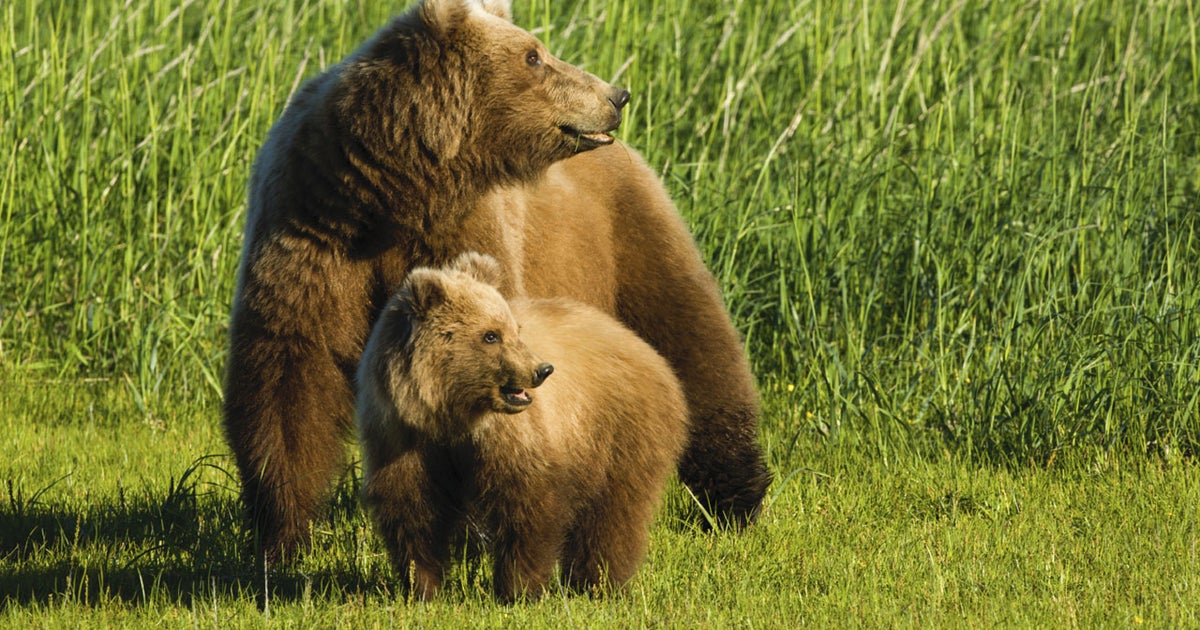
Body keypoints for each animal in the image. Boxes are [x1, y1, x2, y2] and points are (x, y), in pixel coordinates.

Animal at [223, 0, 770, 564]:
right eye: (533, 55)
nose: (615, 95)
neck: (393, 193)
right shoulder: (312, 232)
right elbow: (289, 374)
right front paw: (281, 537)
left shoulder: (463, 231)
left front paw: (472, 532)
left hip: (630, 235)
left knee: (694, 339)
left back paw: (735, 498)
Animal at [356, 253, 689, 602]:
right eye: (490, 335)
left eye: (514, 328)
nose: (542, 370)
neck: (450, 414)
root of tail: (639, 344)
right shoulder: (401, 435)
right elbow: (412, 508)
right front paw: (421, 586)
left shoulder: (511, 436)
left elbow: (528, 504)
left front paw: (518, 589)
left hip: (620, 428)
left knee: (614, 514)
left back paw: (598, 583)